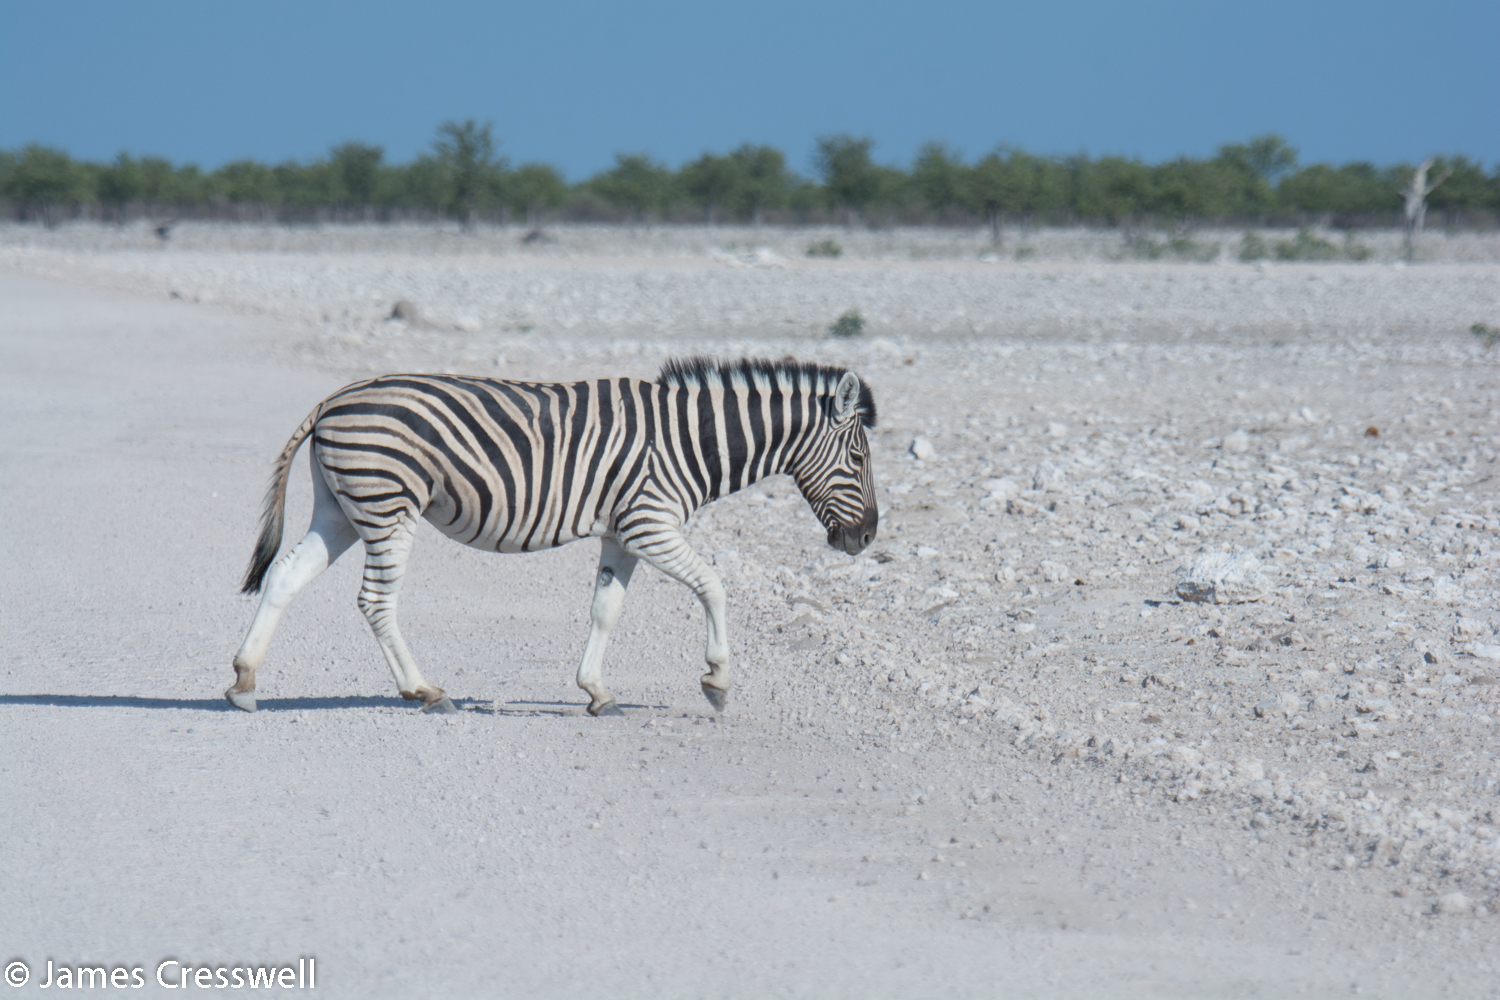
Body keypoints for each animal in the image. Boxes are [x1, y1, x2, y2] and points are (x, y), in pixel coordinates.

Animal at [228, 357, 878, 716]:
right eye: (858, 457)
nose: (867, 538)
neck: (691, 440)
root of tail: (331, 401)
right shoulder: (649, 522)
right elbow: (714, 586)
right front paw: (717, 681)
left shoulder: (622, 534)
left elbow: (604, 610)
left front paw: (596, 691)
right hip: (389, 505)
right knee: (375, 600)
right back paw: (425, 691)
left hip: (342, 508)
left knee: (284, 576)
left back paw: (244, 681)